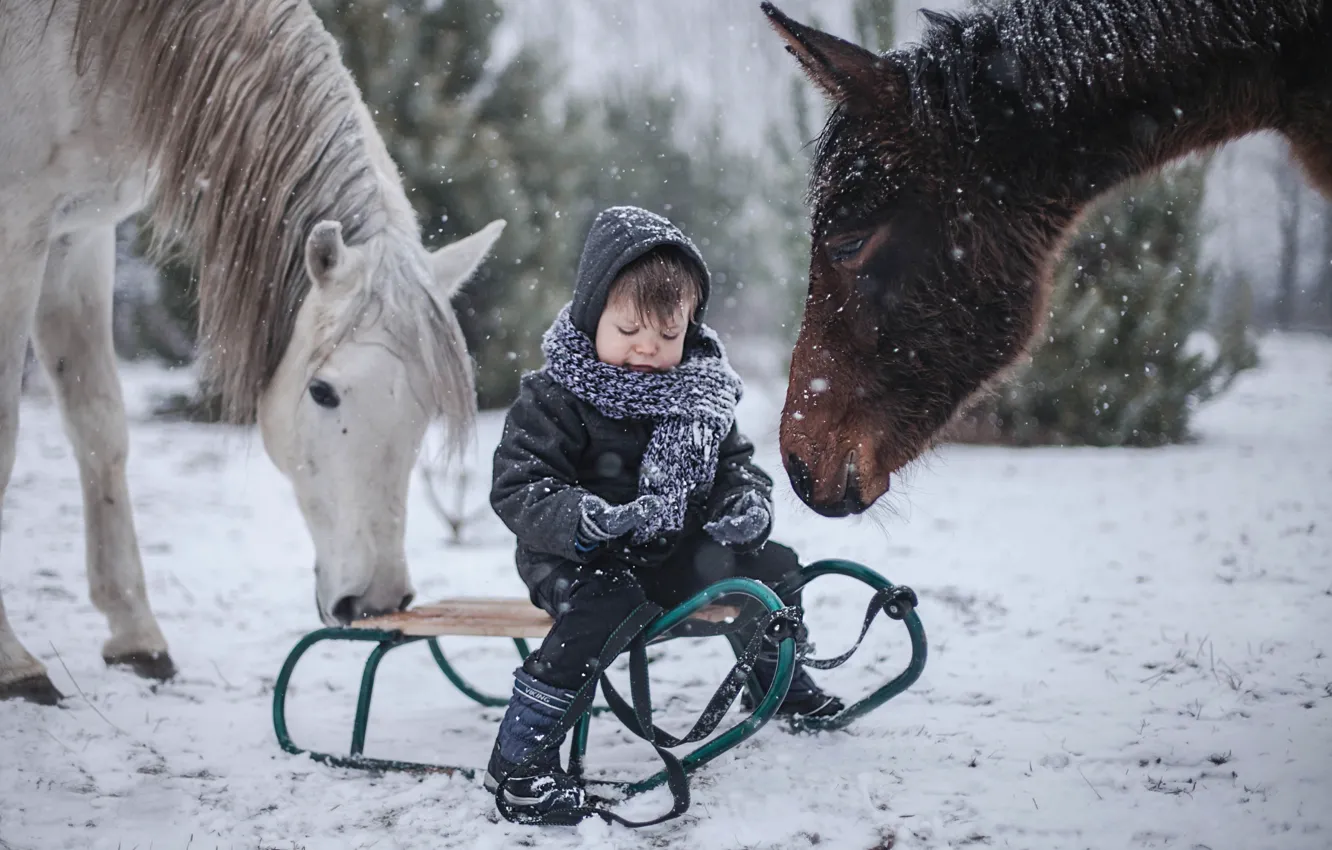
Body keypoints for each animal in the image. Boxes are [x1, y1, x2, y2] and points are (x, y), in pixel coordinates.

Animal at [0, 0, 505, 704]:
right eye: (322, 391)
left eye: (429, 407)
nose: (377, 602)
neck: (95, 39)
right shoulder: (17, 228)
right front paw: (13, 664)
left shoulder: (77, 232)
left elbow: (99, 427)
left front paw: (136, 637)